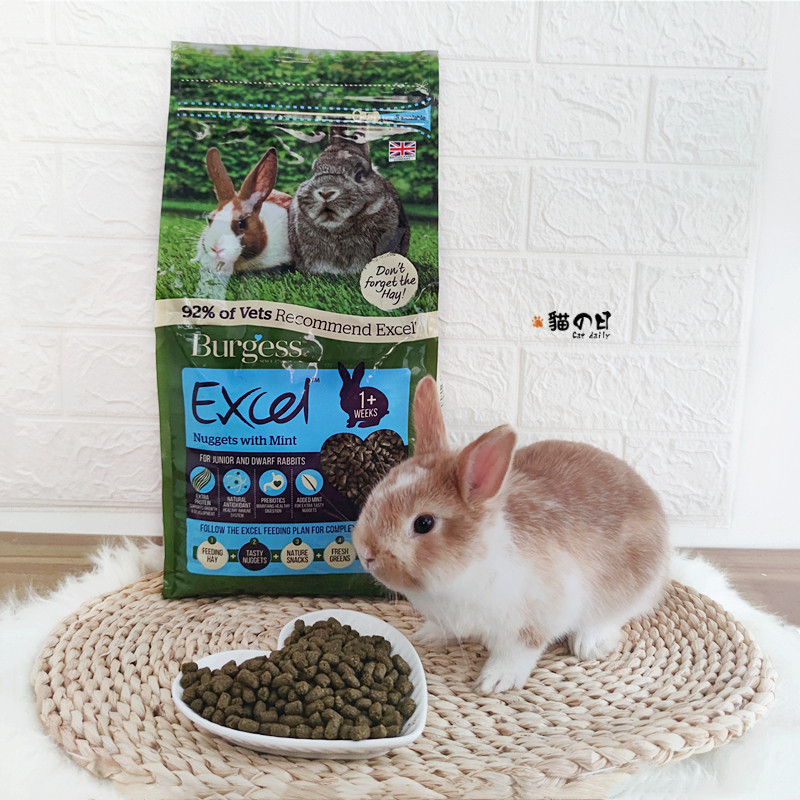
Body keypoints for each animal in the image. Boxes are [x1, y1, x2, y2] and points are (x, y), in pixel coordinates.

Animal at [352, 376, 671, 694]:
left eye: (424, 523)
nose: (366, 553)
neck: (469, 568)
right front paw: (428, 635)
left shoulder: (534, 621)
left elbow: (520, 652)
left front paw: (495, 681)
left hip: (627, 588)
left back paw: (588, 643)